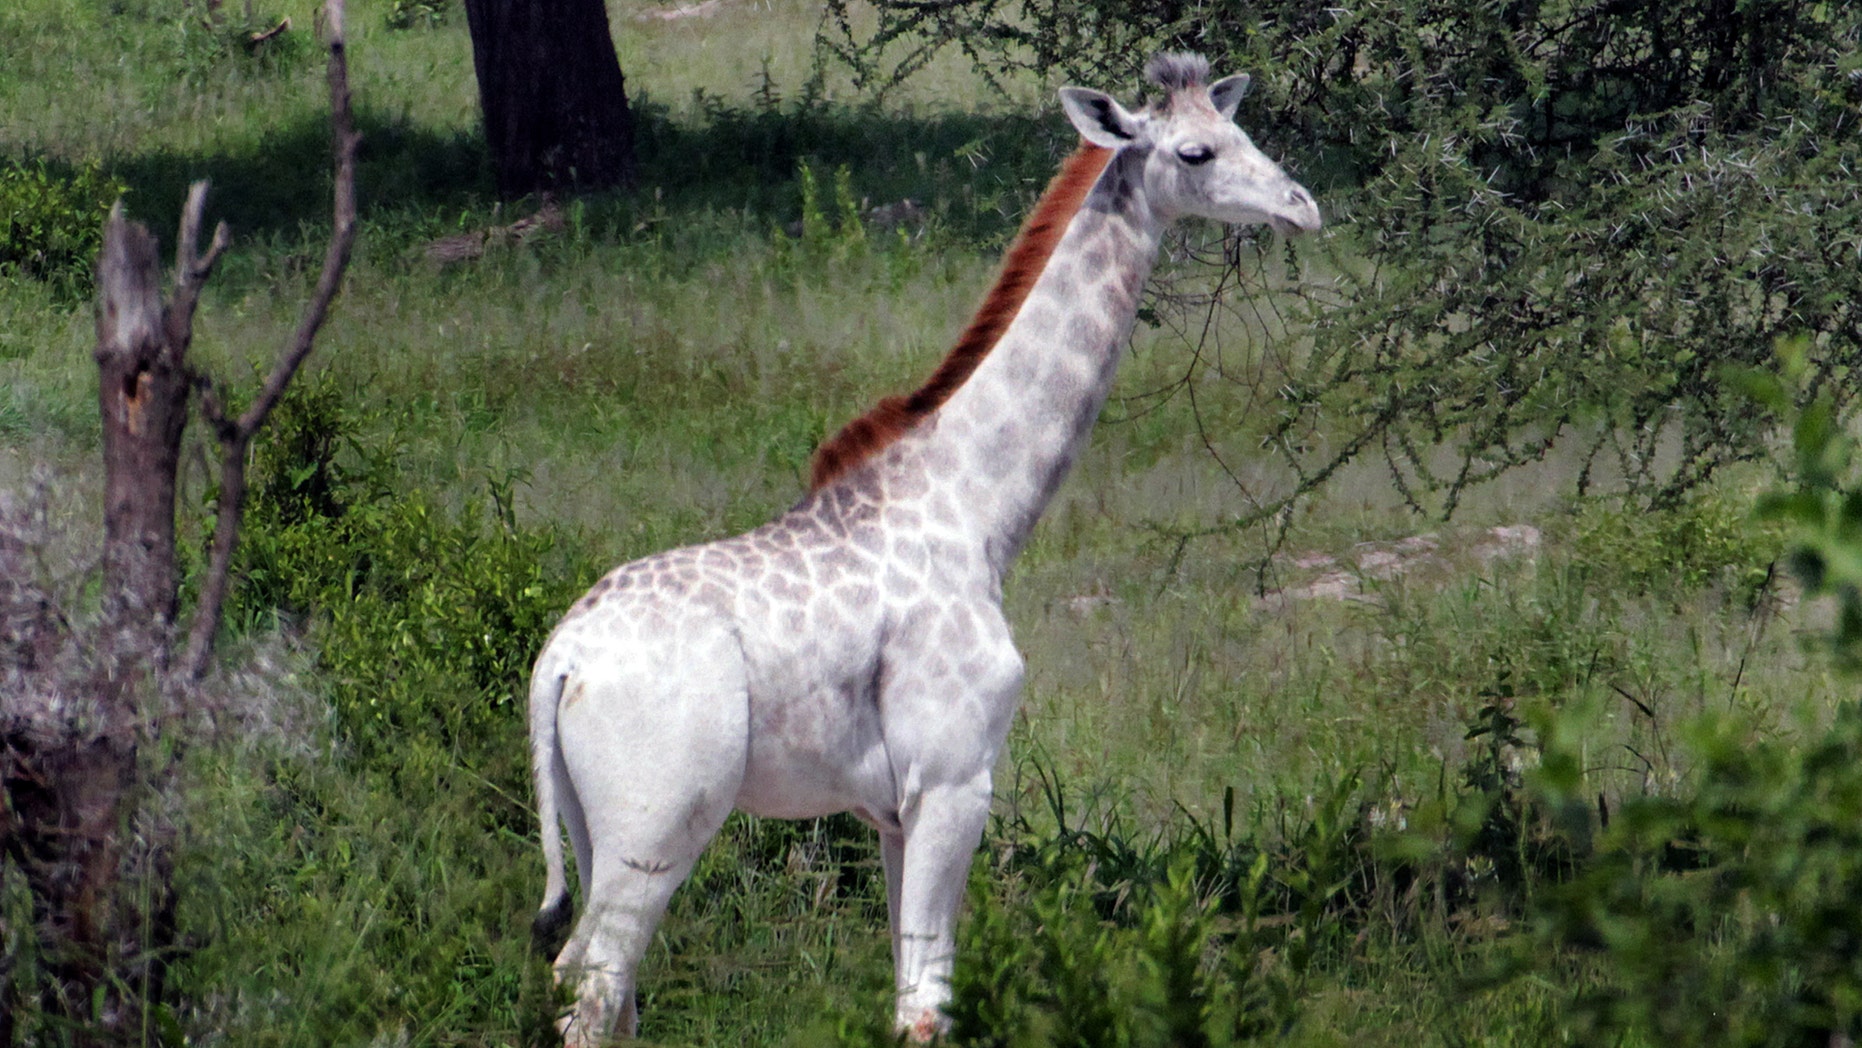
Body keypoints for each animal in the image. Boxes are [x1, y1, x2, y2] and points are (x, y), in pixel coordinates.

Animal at [525, 51, 1325, 1042]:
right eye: (1196, 151)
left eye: (1240, 129)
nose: (1301, 206)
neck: (976, 512)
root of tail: (558, 662)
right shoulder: (953, 777)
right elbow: (927, 1008)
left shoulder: (891, 810)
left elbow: (908, 989)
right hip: (659, 821)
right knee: (593, 983)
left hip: (592, 827)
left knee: (601, 991)